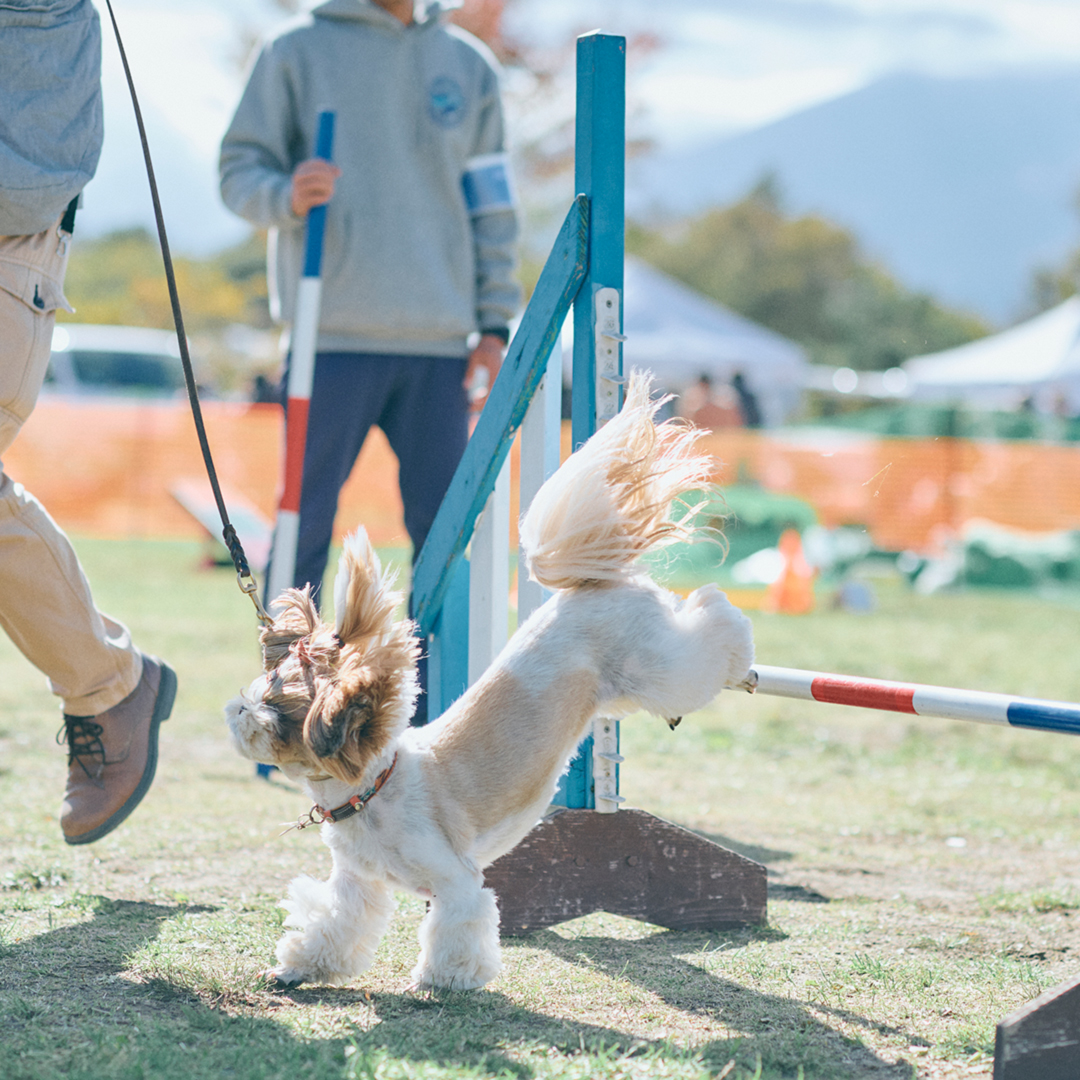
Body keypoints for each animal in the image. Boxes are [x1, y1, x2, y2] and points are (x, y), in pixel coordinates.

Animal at [223, 371, 756, 989]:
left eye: (275, 710)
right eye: (260, 688)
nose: (237, 709)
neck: (371, 787)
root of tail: (592, 585)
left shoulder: (455, 881)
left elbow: (458, 926)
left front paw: (443, 980)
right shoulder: (358, 884)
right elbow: (335, 924)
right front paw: (301, 966)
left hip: (659, 666)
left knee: (709, 634)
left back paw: (728, 626)